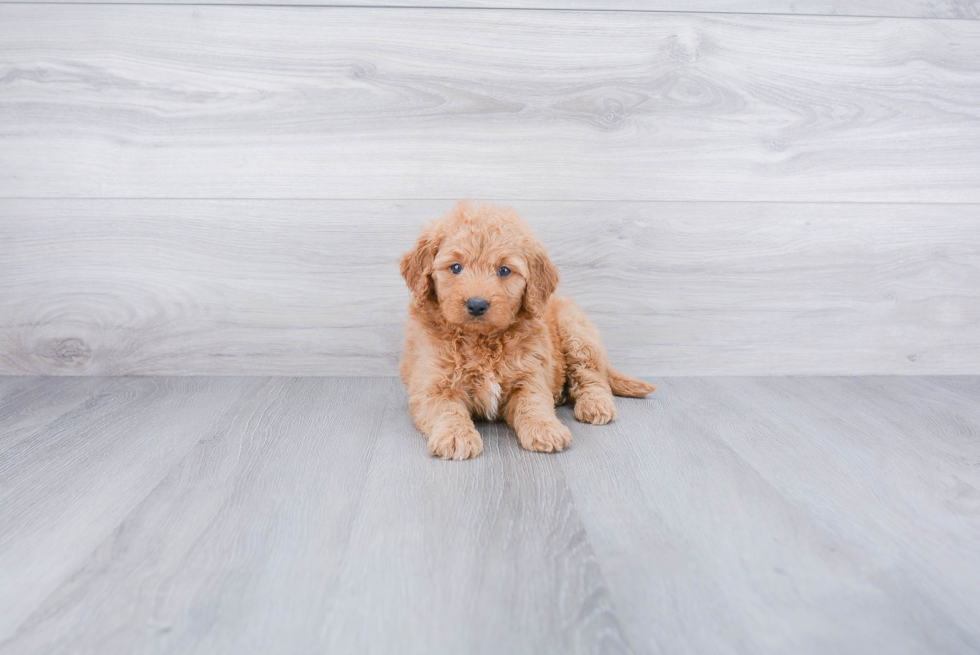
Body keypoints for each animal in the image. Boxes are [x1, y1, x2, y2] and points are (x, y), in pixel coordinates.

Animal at [398, 200, 660, 462]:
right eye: (455, 267)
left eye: (504, 270)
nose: (476, 305)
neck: (482, 340)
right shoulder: (432, 384)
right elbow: (447, 410)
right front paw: (455, 437)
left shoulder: (530, 374)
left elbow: (533, 402)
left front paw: (544, 428)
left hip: (576, 330)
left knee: (593, 376)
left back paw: (595, 404)